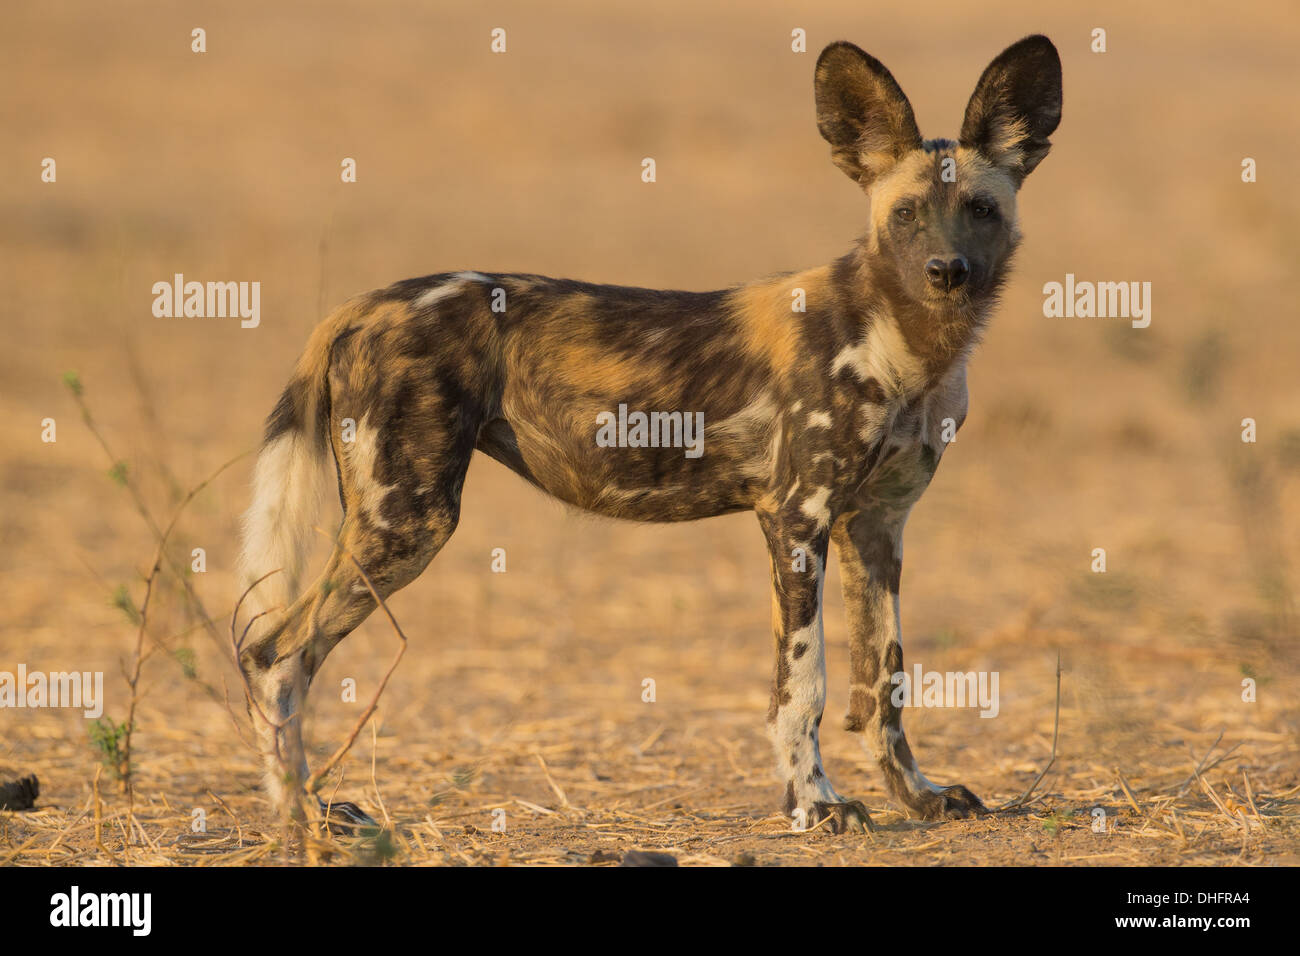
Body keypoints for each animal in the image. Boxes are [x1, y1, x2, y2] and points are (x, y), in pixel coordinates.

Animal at [239, 35, 1060, 832]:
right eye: (906, 214)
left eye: (981, 209)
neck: (905, 344)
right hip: (406, 525)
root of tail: (363, 303)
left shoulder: (878, 527)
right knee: (275, 653)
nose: (947, 270)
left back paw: (308, 809)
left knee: (276, 653)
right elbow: (803, 686)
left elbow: (884, 680)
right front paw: (814, 804)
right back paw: (301, 816)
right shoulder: (796, 519)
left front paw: (918, 796)